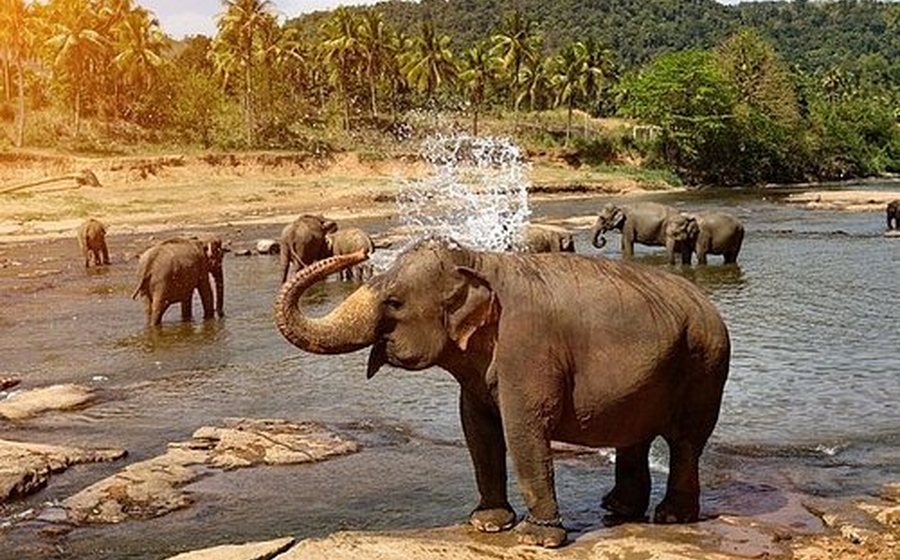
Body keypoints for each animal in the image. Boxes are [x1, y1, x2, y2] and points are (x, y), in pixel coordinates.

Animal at [275, 239, 731, 548]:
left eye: (394, 302)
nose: (359, 254)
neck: (478, 261)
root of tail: (708, 304)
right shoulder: (477, 375)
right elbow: (477, 430)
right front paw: (487, 524)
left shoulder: (528, 348)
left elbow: (523, 429)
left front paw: (535, 539)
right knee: (634, 436)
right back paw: (617, 509)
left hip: (705, 365)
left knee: (686, 441)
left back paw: (671, 517)